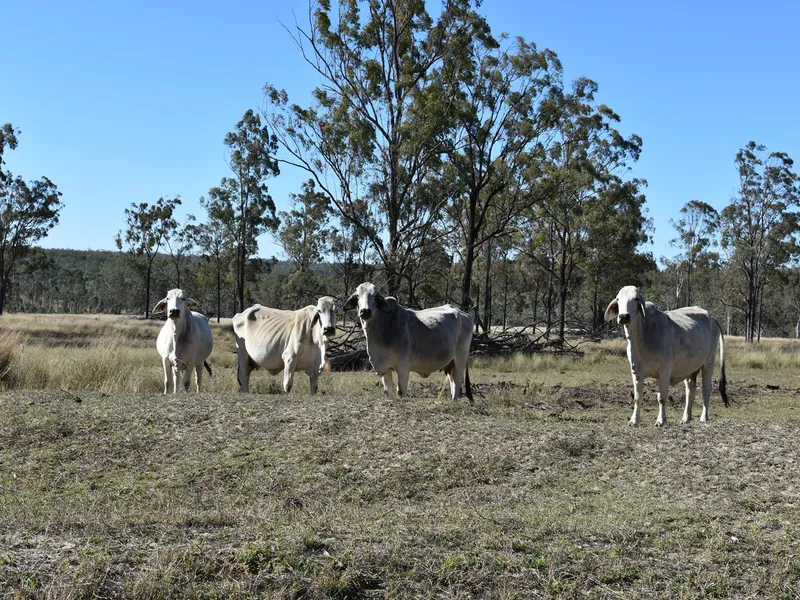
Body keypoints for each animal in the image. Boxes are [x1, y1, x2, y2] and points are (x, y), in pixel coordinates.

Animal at [342, 282, 473, 401]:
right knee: (452, 382)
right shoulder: (384, 368)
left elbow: (401, 391)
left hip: (460, 359)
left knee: (457, 382)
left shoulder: (403, 366)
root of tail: (466, 315)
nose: (365, 311)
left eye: (375, 296)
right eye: (357, 296)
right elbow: (387, 391)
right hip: (450, 364)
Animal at [605, 285, 728, 426]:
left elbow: (662, 398)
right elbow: (637, 398)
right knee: (690, 391)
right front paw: (634, 420)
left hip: (708, 363)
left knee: (706, 389)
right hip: (690, 369)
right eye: (618, 299)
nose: (624, 316)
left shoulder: (664, 371)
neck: (641, 337)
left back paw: (704, 417)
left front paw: (660, 420)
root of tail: (712, 319)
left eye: (635, 299)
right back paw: (686, 418)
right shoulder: (636, 372)